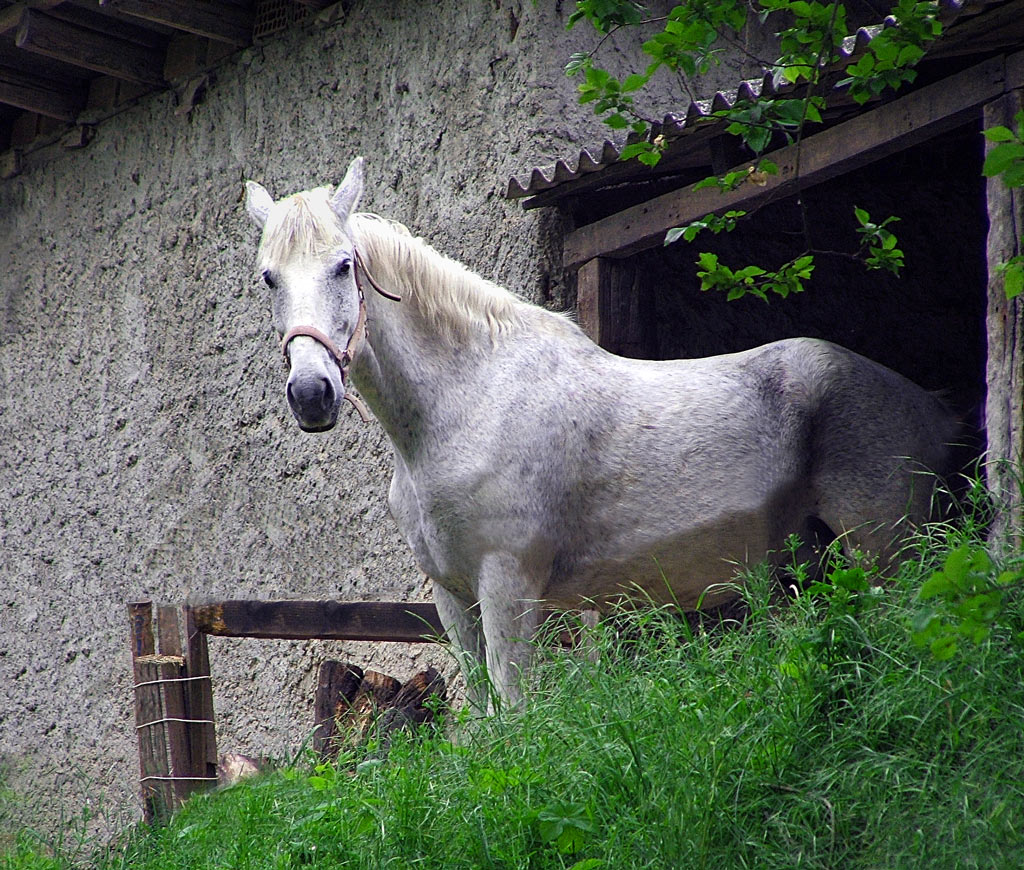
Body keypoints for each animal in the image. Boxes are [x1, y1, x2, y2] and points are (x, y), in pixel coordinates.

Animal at [243, 157, 958, 707]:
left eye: (344, 265)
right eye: (268, 277)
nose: (311, 394)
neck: (467, 405)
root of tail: (926, 401)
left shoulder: (507, 590)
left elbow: (513, 715)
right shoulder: (453, 600)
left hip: (889, 550)